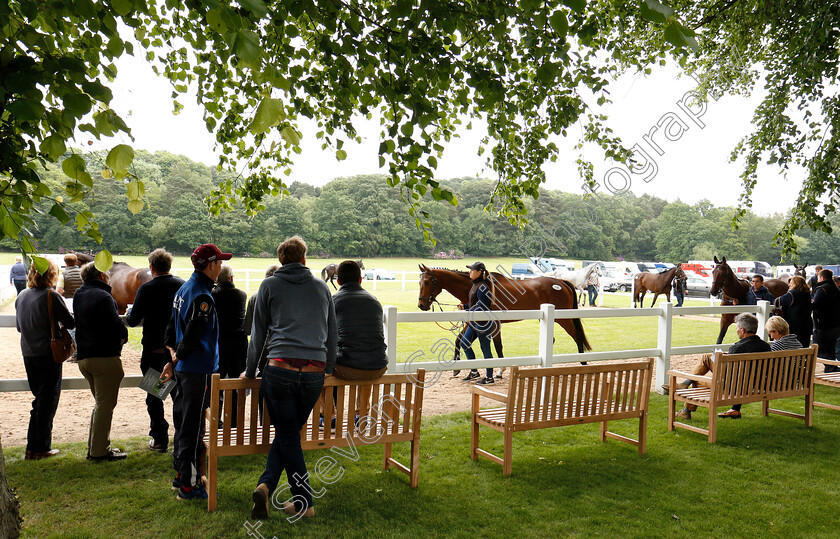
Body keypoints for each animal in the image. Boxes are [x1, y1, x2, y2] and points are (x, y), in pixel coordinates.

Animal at [416, 264, 592, 372]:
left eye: (427, 281)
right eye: (419, 282)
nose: (421, 305)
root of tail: (561, 282)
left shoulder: (494, 323)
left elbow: (498, 345)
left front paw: (500, 369)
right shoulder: (474, 321)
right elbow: (459, 339)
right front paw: (457, 366)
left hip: (564, 318)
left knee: (577, 335)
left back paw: (583, 362)